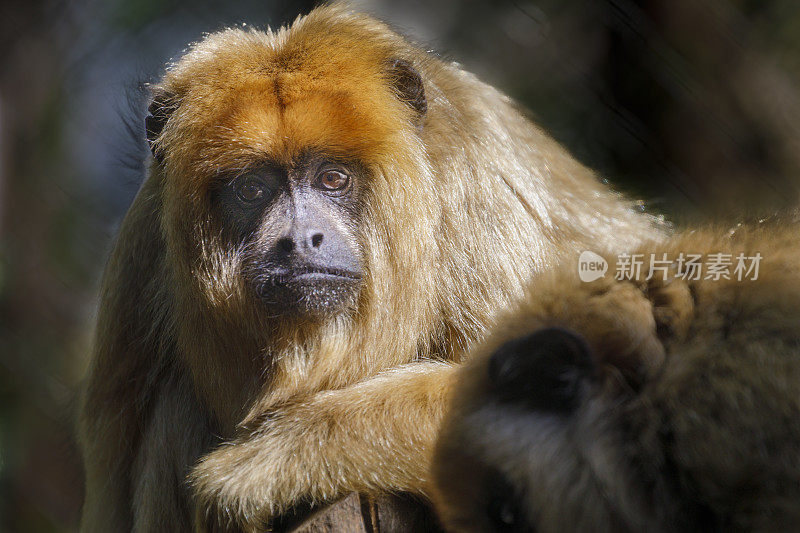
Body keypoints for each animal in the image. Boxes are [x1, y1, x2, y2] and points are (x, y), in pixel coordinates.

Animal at [79, 3, 664, 528]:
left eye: (333, 178)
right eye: (252, 190)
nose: (300, 240)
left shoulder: (479, 192)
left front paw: (284, 455)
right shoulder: (140, 259)